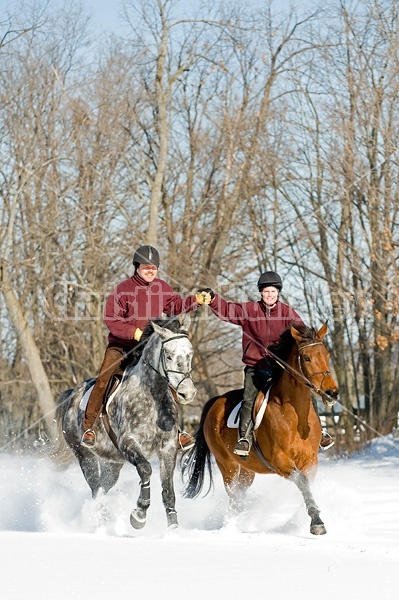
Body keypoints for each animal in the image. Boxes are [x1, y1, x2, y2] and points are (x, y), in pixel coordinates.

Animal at [54, 316, 198, 528]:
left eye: (190, 354)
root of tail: (72, 394)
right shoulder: (128, 443)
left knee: (103, 487)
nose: (187, 393)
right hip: (84, 455)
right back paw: (97, 519)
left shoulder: (168, 448)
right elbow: (146, 470)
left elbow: (168, 491)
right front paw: (139, 514)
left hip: (112, 463)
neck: (152, 397)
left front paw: (173, 528)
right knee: (95, 489)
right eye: (169, 356)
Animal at [183, 324, 340, 536]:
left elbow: (308, 484)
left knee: (239, 496)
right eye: (307, 358)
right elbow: (302, 482)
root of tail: (215, 402)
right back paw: (231, 526)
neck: (294, 415)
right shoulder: (280, 461)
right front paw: (316, 521)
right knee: (233, 495)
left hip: (247, 470)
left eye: (327, 354)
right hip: (227, 465)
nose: (332, 393)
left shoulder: (311, 460)